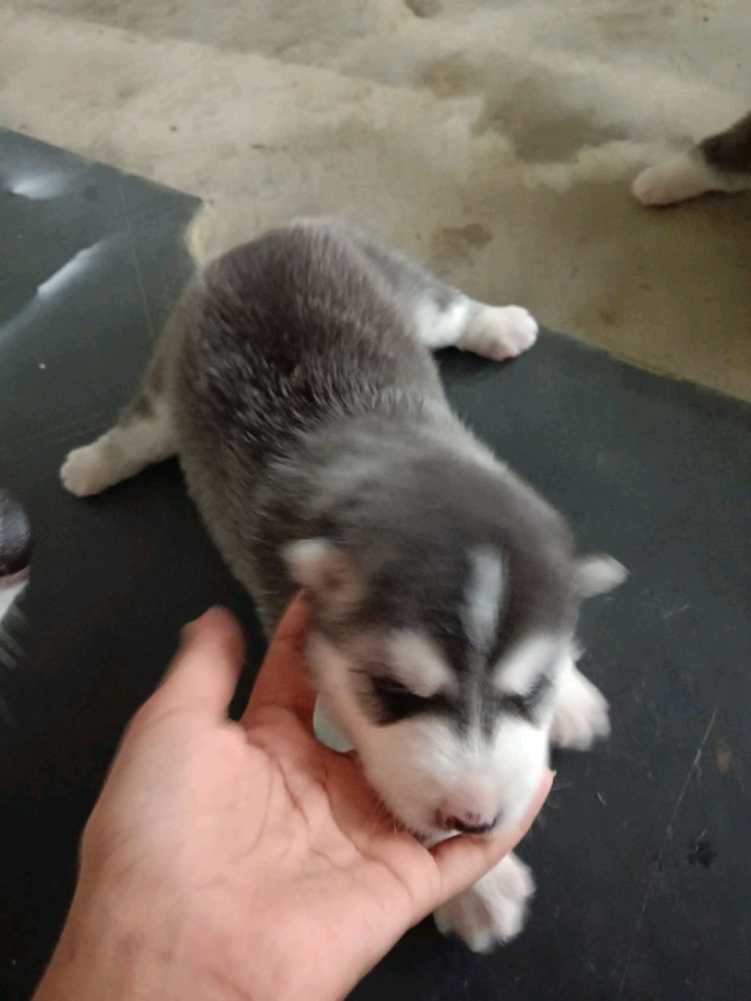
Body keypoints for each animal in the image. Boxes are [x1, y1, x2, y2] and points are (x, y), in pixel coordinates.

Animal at [60, 217, 625, 951]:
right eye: (395, 692)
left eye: (529, 690)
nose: (475, 818)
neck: (393, 458)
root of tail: (262, 240)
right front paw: (478, 886)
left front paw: (572, 696)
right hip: (172, 375)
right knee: (142, 427)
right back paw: (92, 464)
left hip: (400, 296)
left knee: (448, 310)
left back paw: (499, 323)